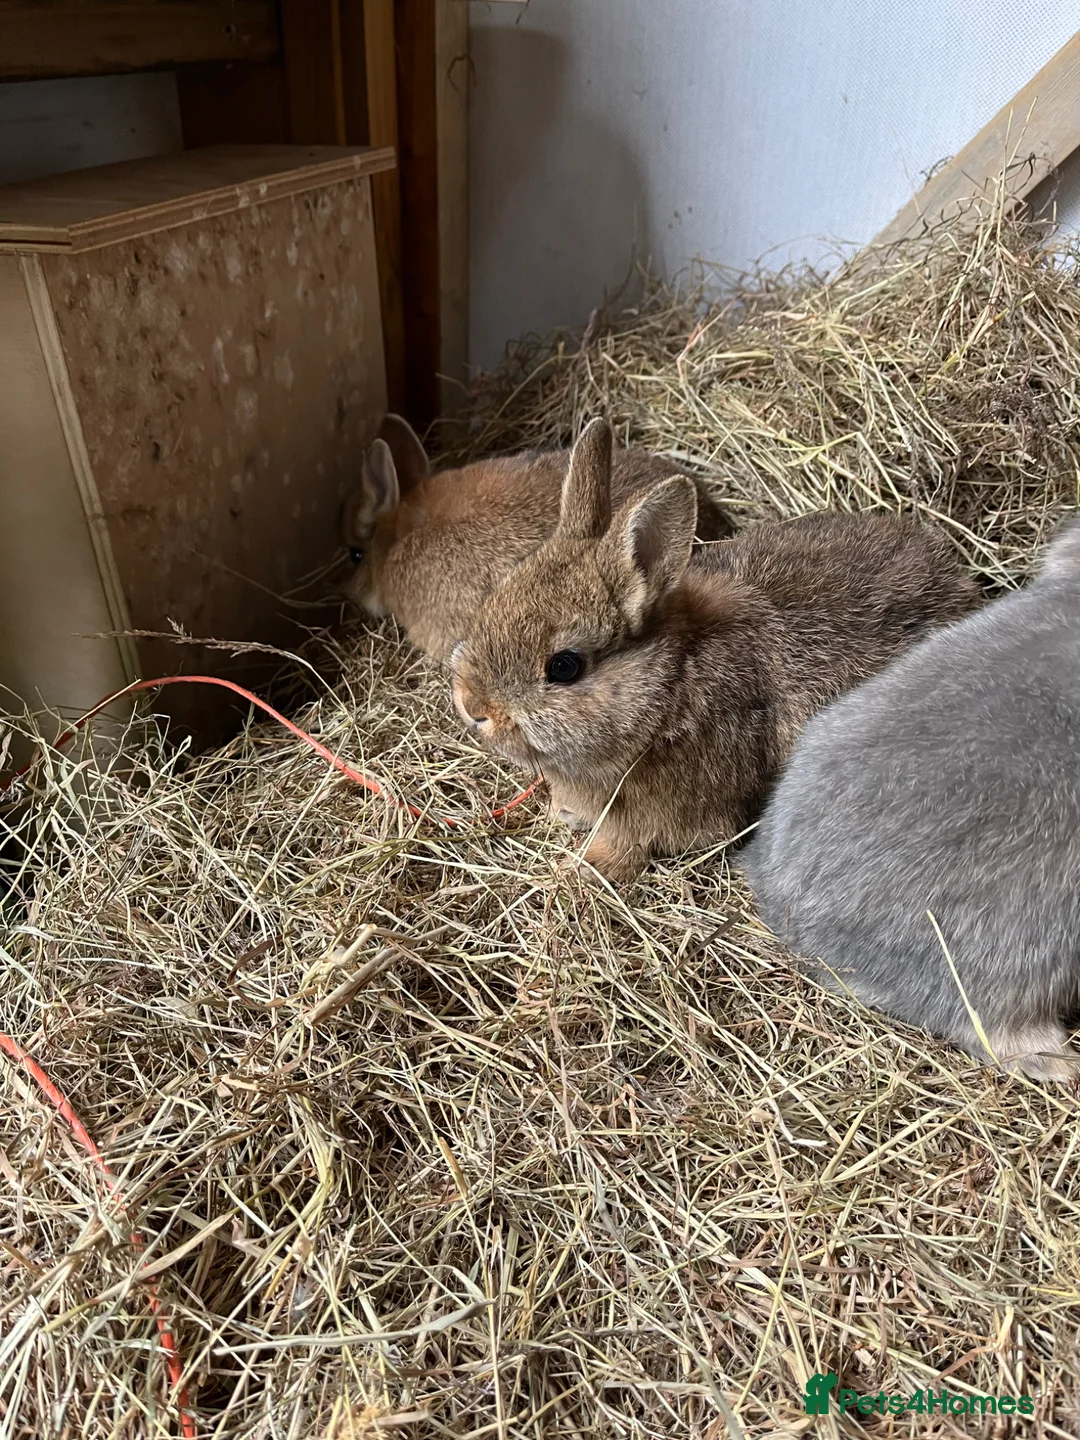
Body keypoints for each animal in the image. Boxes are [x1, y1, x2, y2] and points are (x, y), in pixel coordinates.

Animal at [450, 417, 980, 881]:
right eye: (499, 593)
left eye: (564, 666)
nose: (473, 708)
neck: (668, 688)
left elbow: (630, 846)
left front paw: (587, 867)